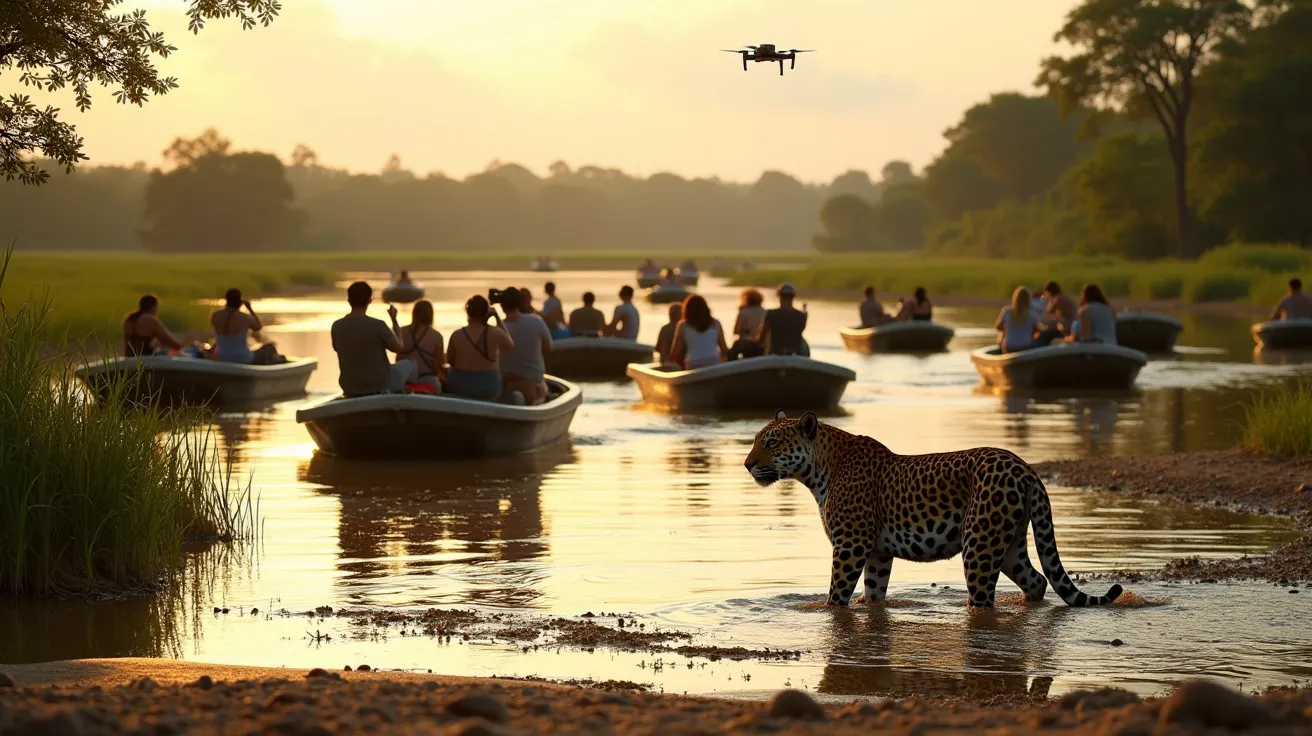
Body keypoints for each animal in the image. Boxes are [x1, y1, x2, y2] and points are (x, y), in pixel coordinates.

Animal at [744, 410, 1123, 608]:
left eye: (772, 443)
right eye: (756, 441)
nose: (747, 464)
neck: (820, 469)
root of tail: (1026, 468)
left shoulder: (851, 545)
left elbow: (837, 595)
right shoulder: (878, 552)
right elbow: (874, 592)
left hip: (979, 547)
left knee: (984, 598)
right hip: (1010, 545)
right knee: (1039, 580)